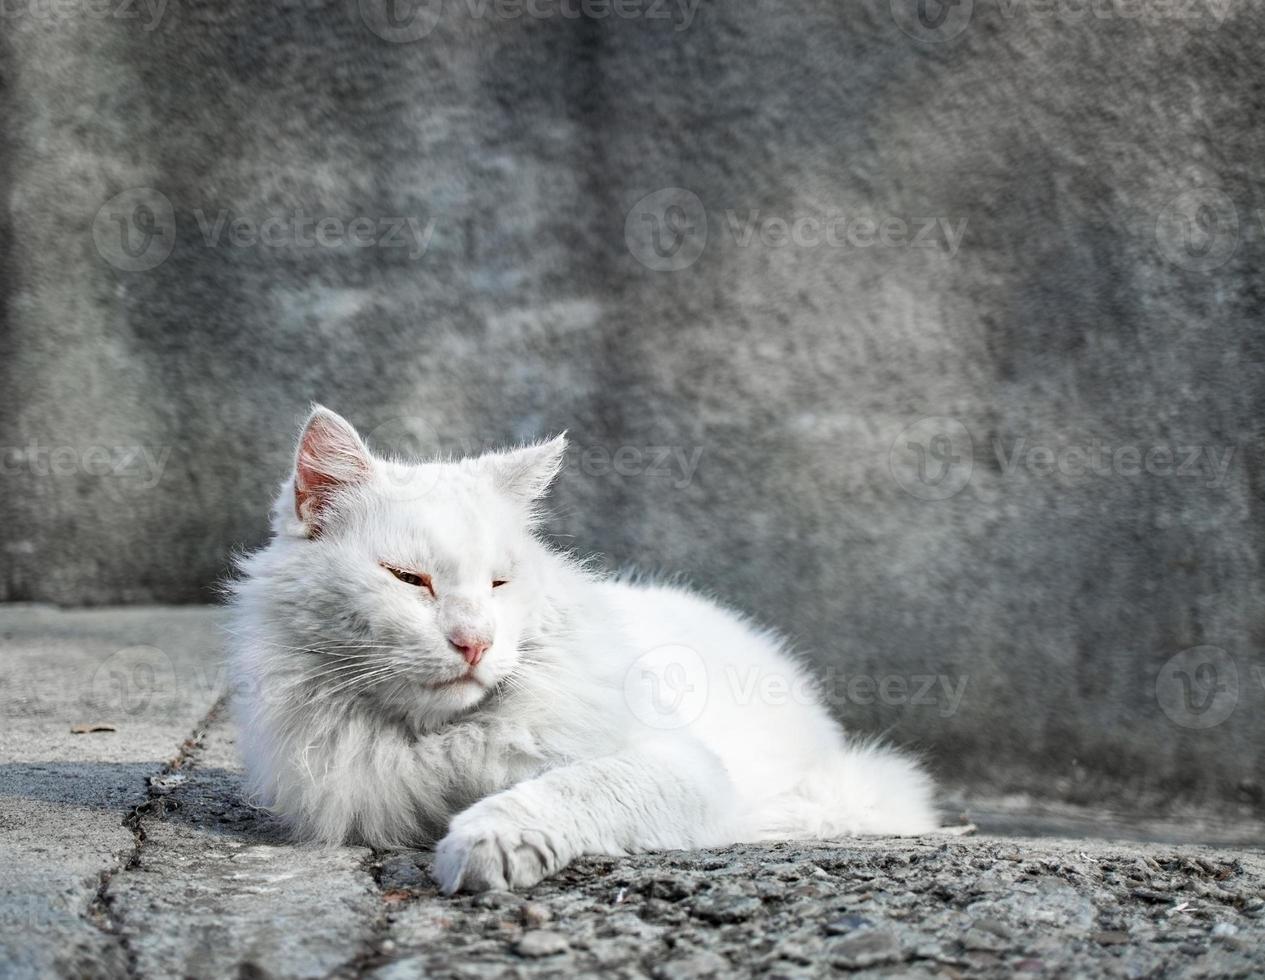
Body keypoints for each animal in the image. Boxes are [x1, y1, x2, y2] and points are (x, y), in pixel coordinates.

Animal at [227, 407, 941, 895]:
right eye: (409, 579)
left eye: (499, 584)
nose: (475, 642)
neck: (440, 741)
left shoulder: (678, 766)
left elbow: (568, 788)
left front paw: (485, 845)